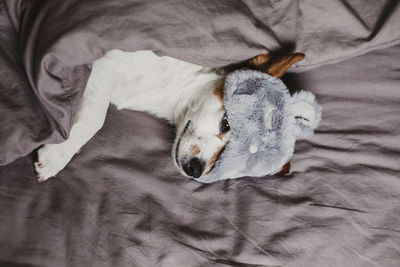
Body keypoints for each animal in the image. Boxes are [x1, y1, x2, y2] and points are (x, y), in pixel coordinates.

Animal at [34, 50, 304, 182]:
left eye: (228, 159)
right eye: (226, 122)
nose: (195, 170)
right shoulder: (105, 63)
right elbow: (95, 119)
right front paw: (57, 156)